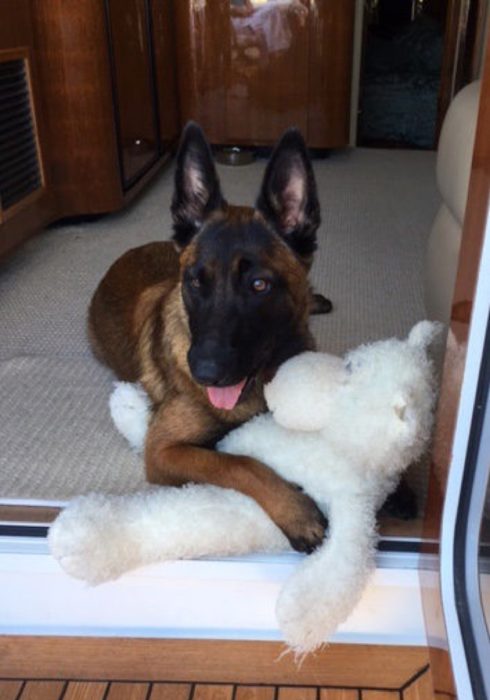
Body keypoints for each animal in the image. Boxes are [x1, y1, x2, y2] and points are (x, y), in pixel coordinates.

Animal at [88, 124, 334, 552]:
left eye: (258, 285)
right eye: (195, 282)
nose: (204, 372)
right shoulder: (164, 451)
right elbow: (239, 464)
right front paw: (296, 511)